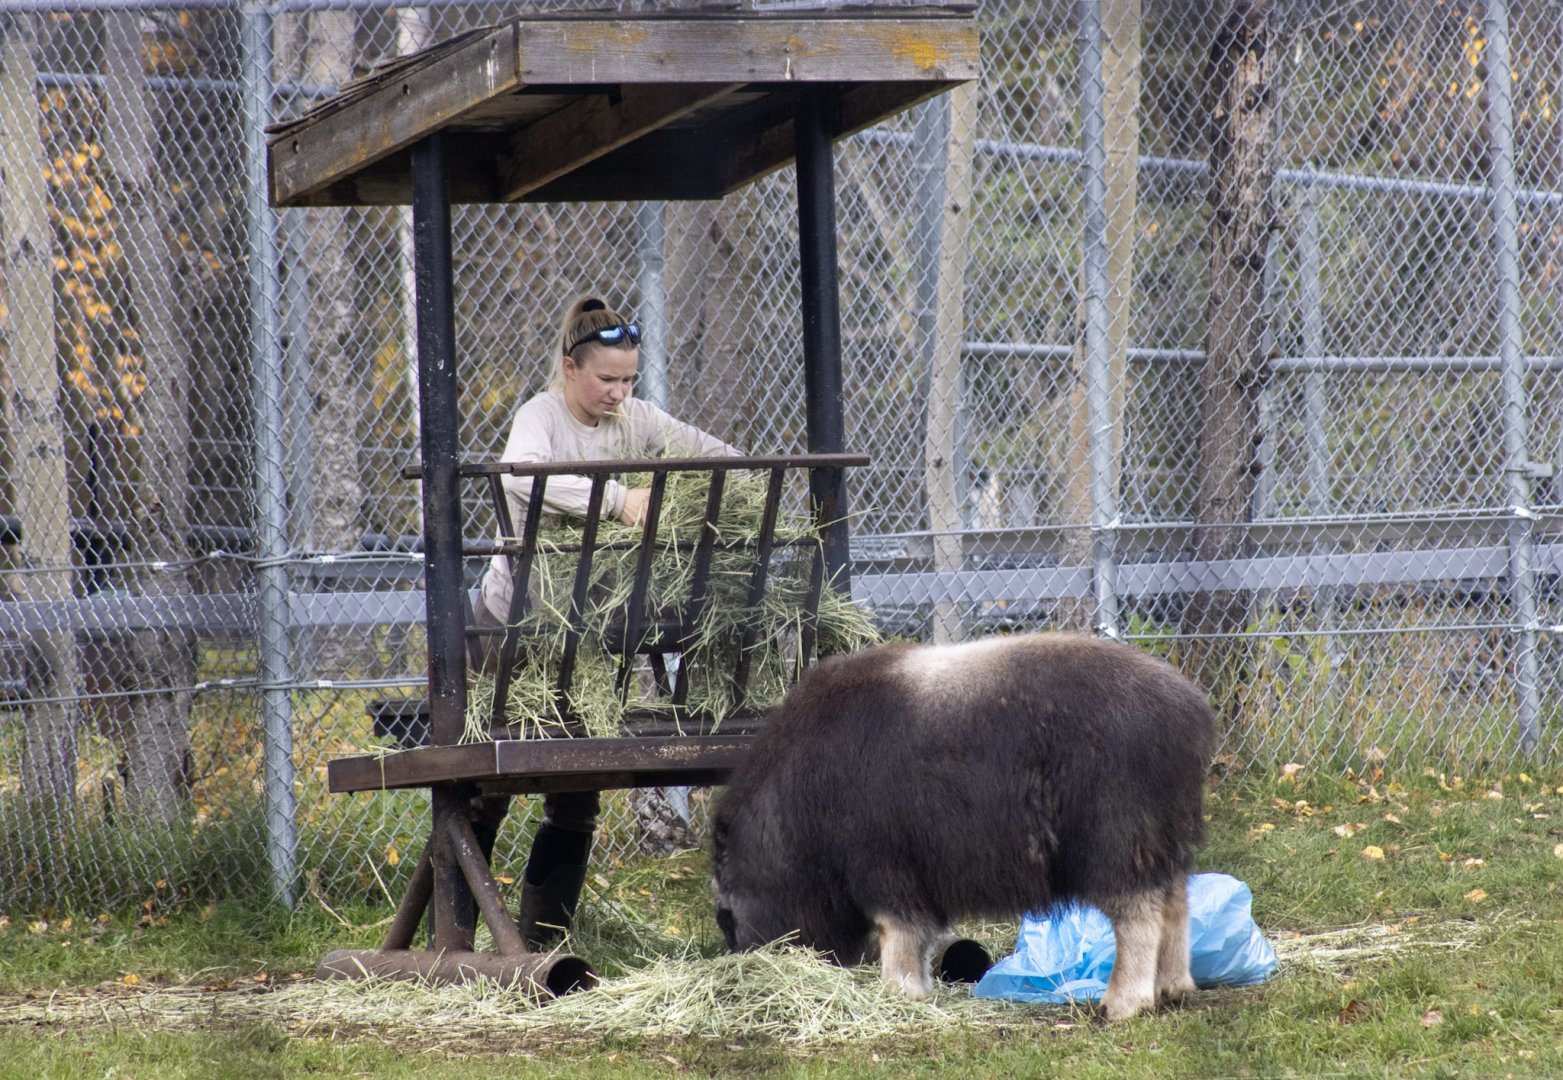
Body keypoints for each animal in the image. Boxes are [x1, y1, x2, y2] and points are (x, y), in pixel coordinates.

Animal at [711, 632, 1217, 1021]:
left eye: (727, 916)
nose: (741, 960)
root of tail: (1186, 709)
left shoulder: (882, 866)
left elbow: (898, 929)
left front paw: (898, 991)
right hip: (1164, 842)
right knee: (1176, 904)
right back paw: (1172, 989)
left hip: (1117, 844)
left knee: (1139, 915)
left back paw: (1122, 1003)